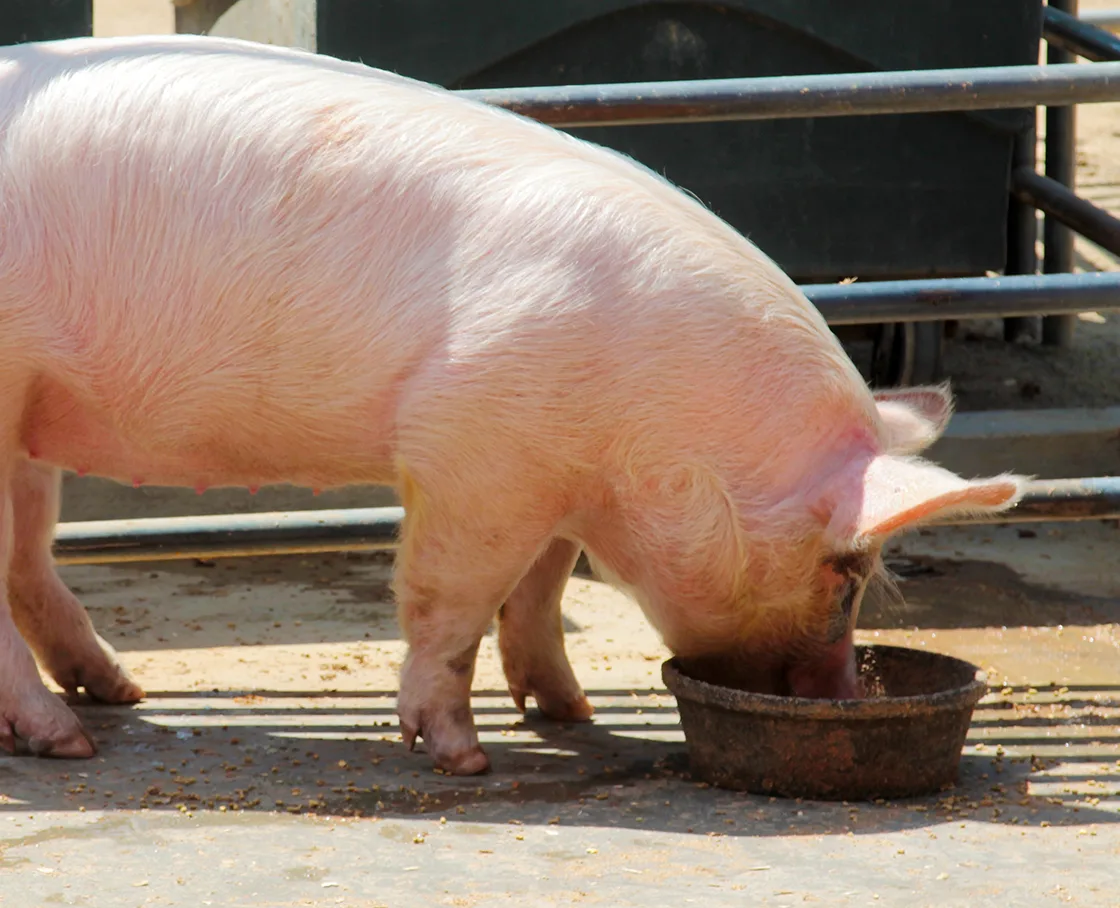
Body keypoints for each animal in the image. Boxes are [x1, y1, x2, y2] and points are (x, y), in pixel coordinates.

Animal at [0, 34, 1023, 774]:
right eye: (846, 574)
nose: (841, 695)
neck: (668, 431)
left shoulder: (553, 468)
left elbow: (542, 583)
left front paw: (568, 709)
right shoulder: (472, 452)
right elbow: (451, 599)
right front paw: (463, 761)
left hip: (27, 421)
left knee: (26, 562)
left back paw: (116, 695)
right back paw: (67, 743)